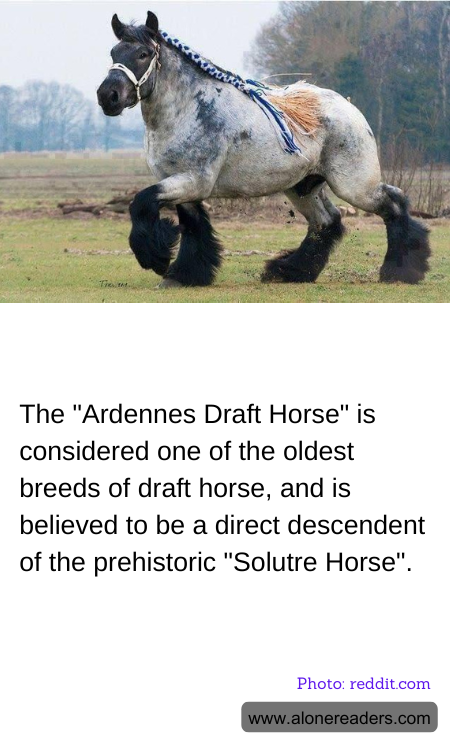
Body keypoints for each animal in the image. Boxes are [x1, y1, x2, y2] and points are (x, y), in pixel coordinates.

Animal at [97, 11, 431, 288]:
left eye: (142, 54)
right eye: (113, 53)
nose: (107, 96)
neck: (186, 109)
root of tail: (349, 108)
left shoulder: (192, 181)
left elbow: (140, 202)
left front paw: (155, 258)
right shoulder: (183, 185)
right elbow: (193, 227)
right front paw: (183, 276)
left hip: (355, 185)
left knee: (393, 203)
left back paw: (400, 270)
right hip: (303, 187)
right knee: (326, 222)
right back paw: (290, 272)